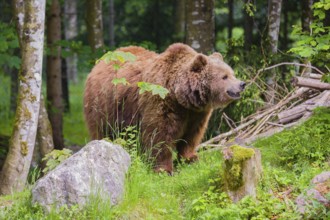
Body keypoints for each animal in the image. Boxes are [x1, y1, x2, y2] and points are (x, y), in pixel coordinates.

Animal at [84, 43, 246, 174]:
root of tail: (100, 62)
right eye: (224, 76)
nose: (242, 84)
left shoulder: (197, 113)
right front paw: (164, 169)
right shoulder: (161, 102)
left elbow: (192, 135)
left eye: (232, 73)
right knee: (103, 130)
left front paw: (191, 157)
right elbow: (159, 135)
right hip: (104, 106)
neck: (181, 97)